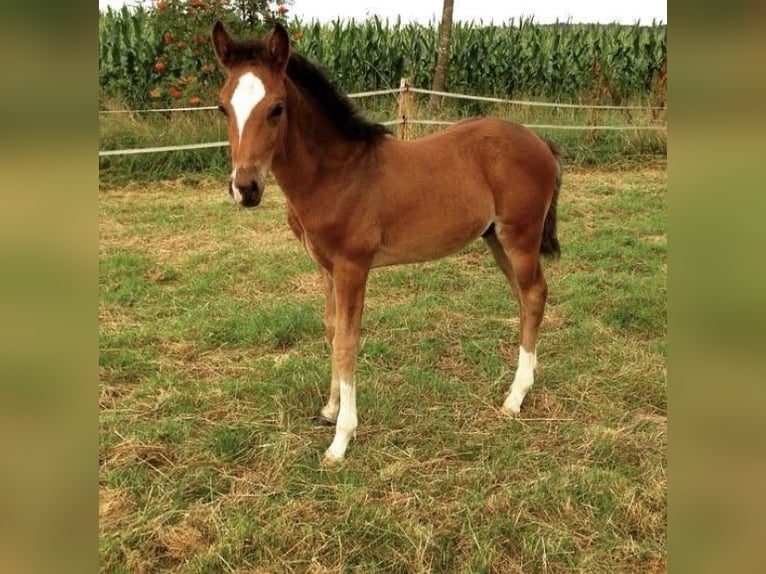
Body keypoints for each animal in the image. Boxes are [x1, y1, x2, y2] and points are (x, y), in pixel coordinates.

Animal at [211, 22, 562, 465]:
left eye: (277, 108)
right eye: (222, 108)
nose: (245, 189)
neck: (337, 173)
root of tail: (541, 143)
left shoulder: (352, 267)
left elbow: (348, 340)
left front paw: (341, 440)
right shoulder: (326, 267)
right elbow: (332, 331)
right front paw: (329, 410)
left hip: (520, 235)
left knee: (533, 294)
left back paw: (515, 398)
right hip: (496, 239)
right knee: (524, 297)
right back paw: (525, 382)